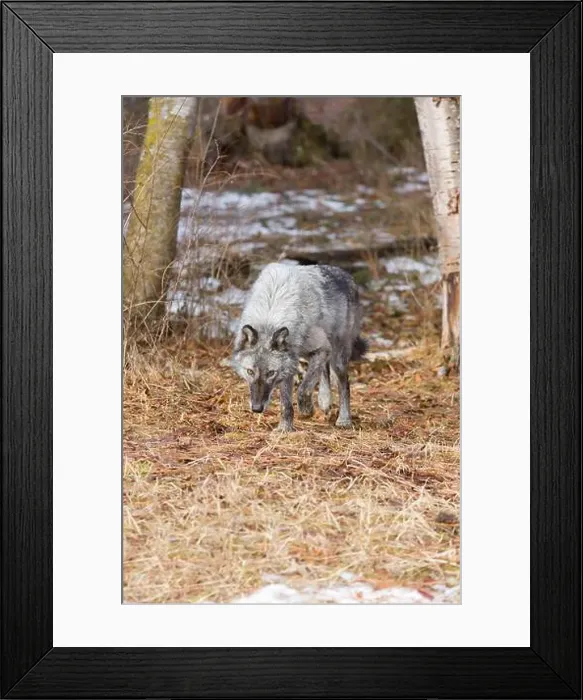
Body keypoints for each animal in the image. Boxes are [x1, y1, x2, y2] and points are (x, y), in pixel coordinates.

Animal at [231, 262, 367, 431]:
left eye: (270, 373)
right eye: (250, 371)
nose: (256, 408)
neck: (270, 318)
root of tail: (347, 275)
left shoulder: (320, 348)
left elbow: (304, 388)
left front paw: (306, 410)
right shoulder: (289, 365)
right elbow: (286, 403)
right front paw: (284, 428)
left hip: (337, 357)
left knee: (344, 384)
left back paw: (344, 419)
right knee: (324, 371)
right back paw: (324, 401)